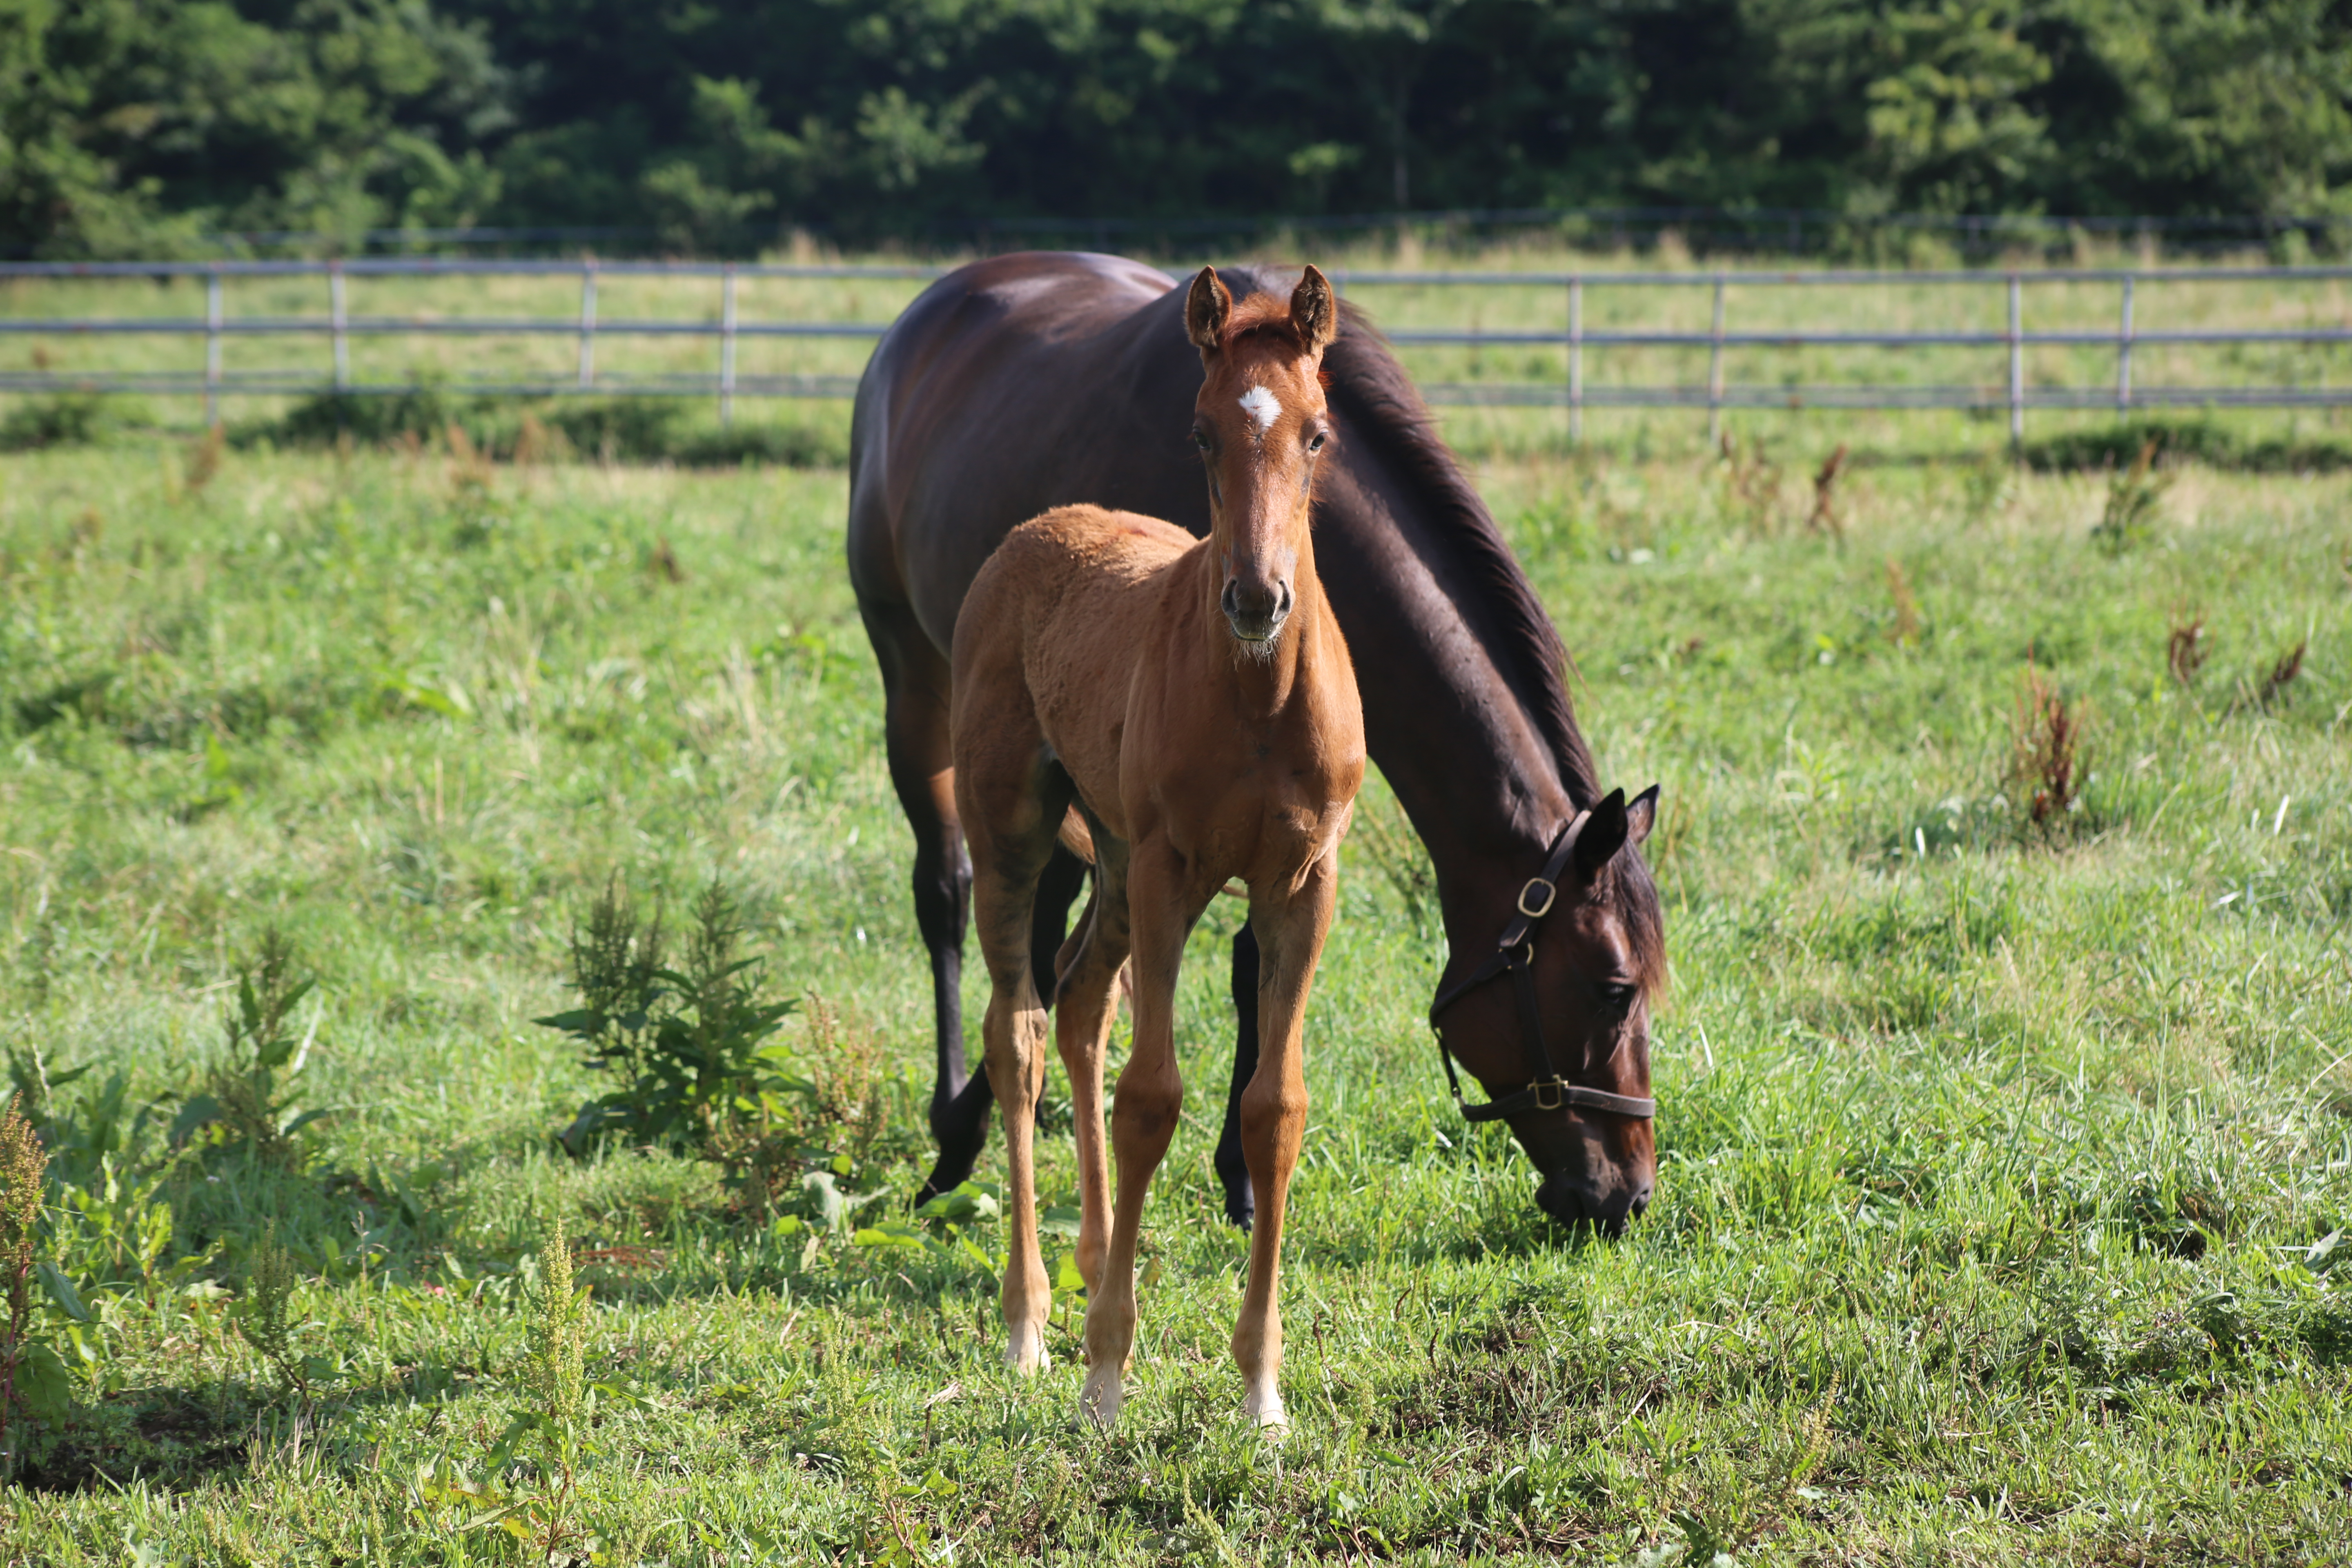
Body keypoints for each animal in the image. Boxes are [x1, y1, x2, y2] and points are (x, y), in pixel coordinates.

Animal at [851, 248, 1675, 1241]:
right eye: (1612, 987)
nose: (1627, 1193)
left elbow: (1246, 964)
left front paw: (1237, 1173)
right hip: (915, 676)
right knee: (947, 886)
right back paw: (955, 1118)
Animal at [950, 270, 1373, 1439]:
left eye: (1319, 432)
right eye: (1198, 432)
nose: (1256, 598)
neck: (1258, 700)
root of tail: (1036, 531)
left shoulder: (1300, 886)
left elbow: (1274, 1109)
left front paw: (1263, 1389)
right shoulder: (1171, 870)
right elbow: (1150, 1099)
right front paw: (1105, 1375)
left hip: (1108, 855)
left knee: (1082, 999)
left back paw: (1094, 1260)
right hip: (1018, 836)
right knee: (1019, 1031)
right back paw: (1029, 1319)